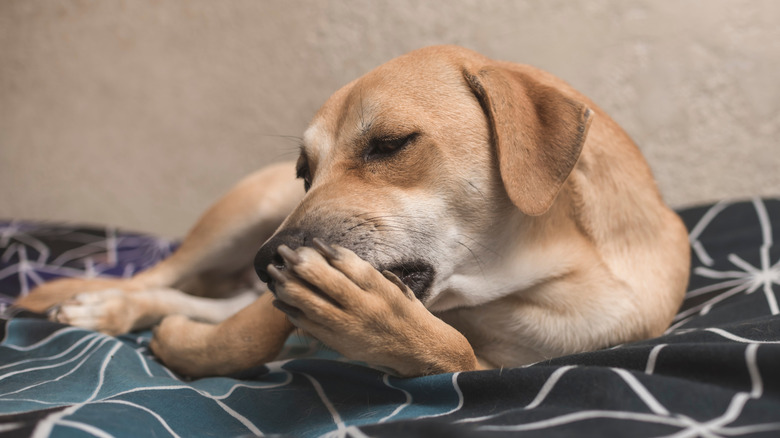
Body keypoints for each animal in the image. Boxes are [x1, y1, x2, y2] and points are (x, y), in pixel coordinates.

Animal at [15, 45, 692, 376]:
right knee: (156, 278)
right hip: (239, 215)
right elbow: (244, 336)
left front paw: (383, 328)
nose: (267, 261)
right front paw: (183, 343)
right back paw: (92, 302)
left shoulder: (497, 366)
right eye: (305, 172)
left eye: (389, 144)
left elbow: (452, 352)